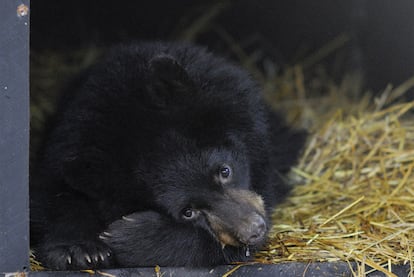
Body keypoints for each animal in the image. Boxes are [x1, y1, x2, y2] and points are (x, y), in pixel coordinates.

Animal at [30, 42, 306, 268]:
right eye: (187, 212)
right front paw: (78, 250)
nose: (254, 230)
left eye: (225, 171)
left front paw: (130, 236)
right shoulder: (69, 141)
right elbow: (56, 195)